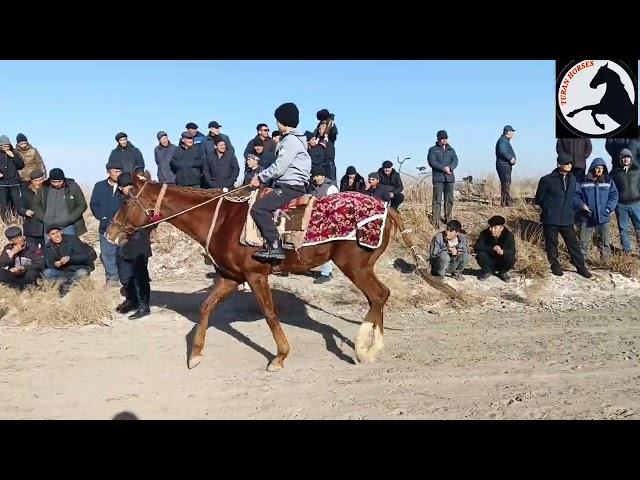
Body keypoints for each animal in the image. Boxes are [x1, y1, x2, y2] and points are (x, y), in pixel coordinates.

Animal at [106, 173, 456, 372]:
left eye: (125, 200)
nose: (110, 234)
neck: (222, 219)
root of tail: (386, 207)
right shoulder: (231, 277)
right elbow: (205, 307)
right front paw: (195, 356)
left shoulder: (255, 276)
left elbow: (271, 314)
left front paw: (280, 357)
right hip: (361, 267)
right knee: (378, 298)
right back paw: (371, 346)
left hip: (354, 266)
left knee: (379, 295)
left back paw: (364, 349)